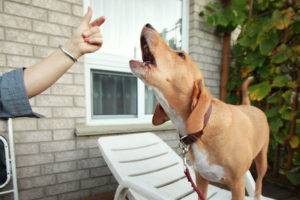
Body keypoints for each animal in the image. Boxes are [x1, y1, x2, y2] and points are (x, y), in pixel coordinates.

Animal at [129, 23, 270, 200]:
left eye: (181, 54)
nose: (148, 24)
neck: (204, 128)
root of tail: (249, 105)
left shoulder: (238, 184)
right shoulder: (201, 179)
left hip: (262, 161)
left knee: (259, 184)